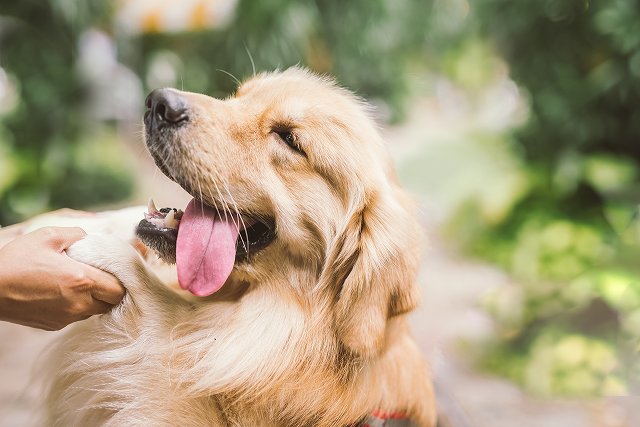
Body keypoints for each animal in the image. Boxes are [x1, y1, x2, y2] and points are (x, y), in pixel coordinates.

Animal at [45, 68, 438, 426]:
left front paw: (104, 245)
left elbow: (166, 313)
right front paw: (104, 221)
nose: (159, 102)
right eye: (238, 97)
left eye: (288, 138)